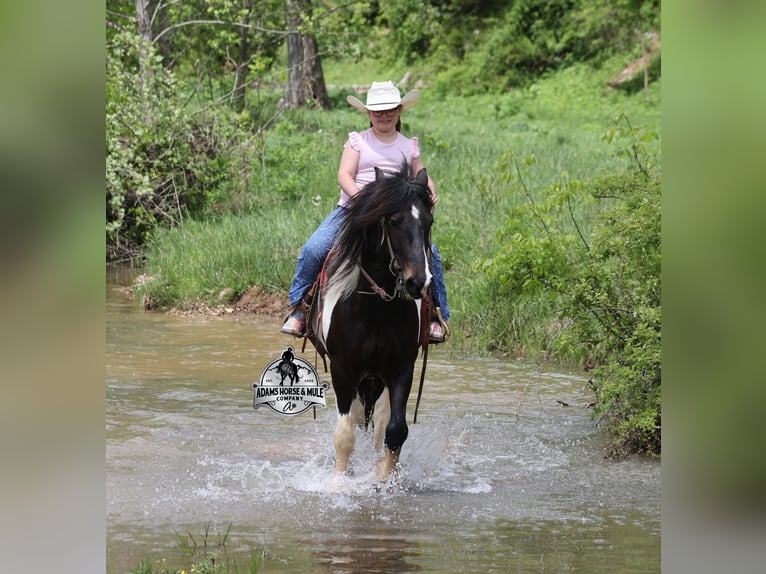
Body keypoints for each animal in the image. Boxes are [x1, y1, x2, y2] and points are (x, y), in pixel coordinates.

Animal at [308, 163, 434, 480]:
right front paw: (340, 481)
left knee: (378, 422)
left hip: (376, 378)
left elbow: (395, 430)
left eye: (429, 221)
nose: (418, 282)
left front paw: (384, 478)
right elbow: (344, 435)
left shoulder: (401, 368)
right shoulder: (343, 369)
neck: (376, 308)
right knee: (357, 419)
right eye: (393, 221)